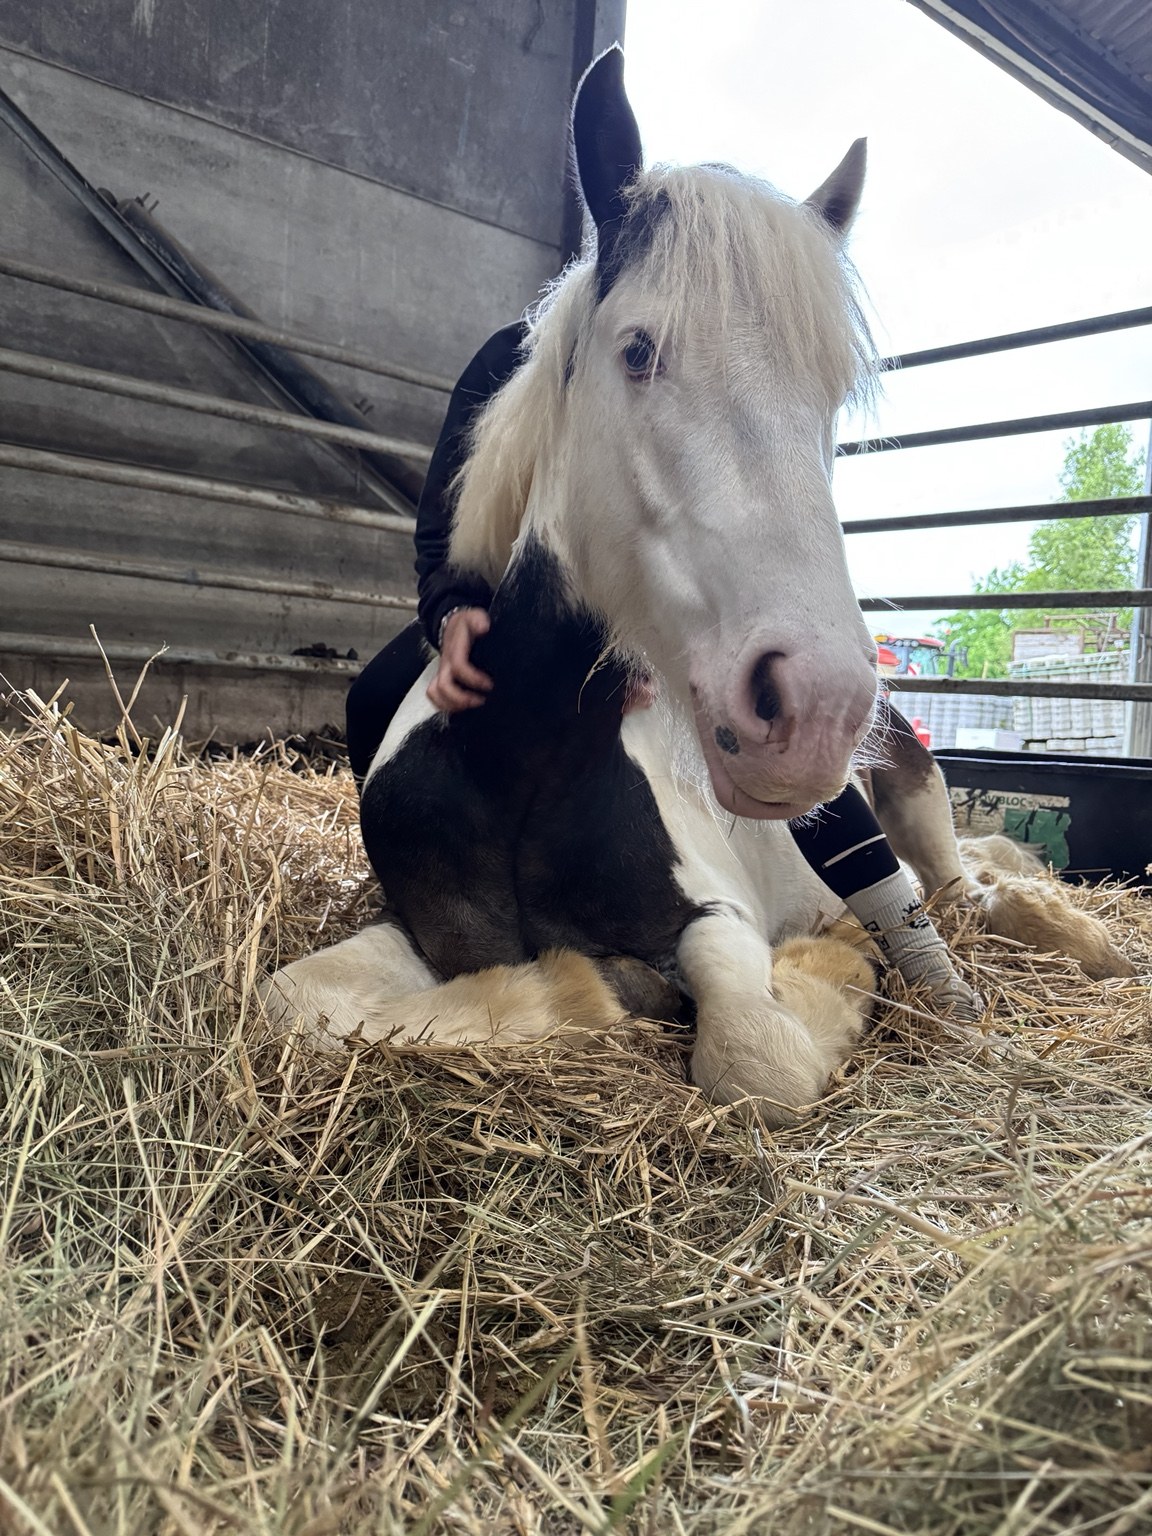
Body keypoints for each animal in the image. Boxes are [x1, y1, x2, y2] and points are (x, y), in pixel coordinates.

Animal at [262, 49, 1133, 1125]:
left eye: (829, 401)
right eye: (637, 351)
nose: (818, 706)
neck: (516, 774)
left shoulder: (716, 911)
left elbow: (754, 1053)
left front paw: (830, 967)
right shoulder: (411, 934)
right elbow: (296, 997)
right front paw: (580, 989)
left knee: (966, 888)